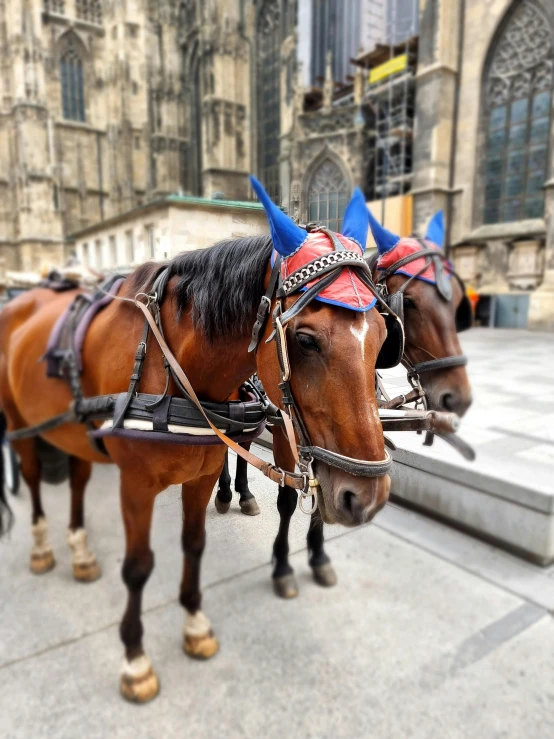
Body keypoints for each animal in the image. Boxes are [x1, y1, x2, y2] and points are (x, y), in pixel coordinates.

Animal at [0, 178, 390, 700]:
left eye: (384, 336)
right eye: (306, 340)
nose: (367, 496)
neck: (173, 368)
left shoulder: (202, 475)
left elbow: (194, 544)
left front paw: (195, 626)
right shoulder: (136, 485)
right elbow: (138, 565)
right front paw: (135, 659)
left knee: (78, 477)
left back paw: (80, 551)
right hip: (20, 421)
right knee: (33, 474)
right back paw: (43, 547)